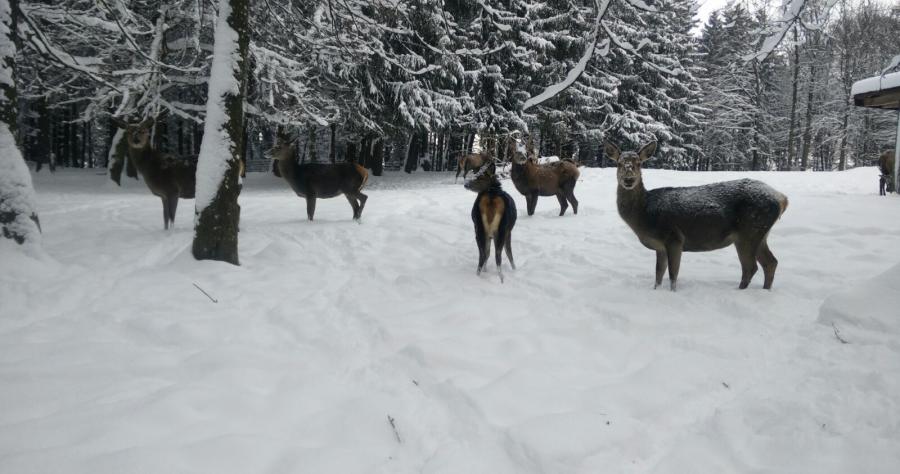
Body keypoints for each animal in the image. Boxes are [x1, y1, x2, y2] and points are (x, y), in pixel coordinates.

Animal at [604, 139, 788, 290]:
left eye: (639, 163)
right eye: (619, 163)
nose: (629, 179)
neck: (646, 214)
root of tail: (781, 199)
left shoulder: (674, 237)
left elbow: (672, 275)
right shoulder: (660, 246)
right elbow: (658, 275)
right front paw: (655, 290)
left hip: (749, 231)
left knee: (751, 267)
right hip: (760, 233)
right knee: (771, 262)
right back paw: (765, 290)